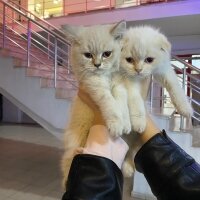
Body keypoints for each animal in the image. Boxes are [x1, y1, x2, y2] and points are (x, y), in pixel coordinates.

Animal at [61, 21, 131, 184]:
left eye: (107, 54)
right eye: (88, 55)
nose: (97, 64)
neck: (106, 76)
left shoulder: (119, 86)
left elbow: (121, 103)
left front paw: (125, 123)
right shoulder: (95, 86)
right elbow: (110, 103)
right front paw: (116, 124)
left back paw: (127, 168)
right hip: (76, 140)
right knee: (68, 165)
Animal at [119, 25, 193, 177]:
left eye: (149, 60)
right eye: (129, 60)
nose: (138, 70)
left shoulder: (164, 71)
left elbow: (175, 88)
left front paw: (185, 108)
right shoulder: (129, 82)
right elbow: (136, 101)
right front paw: (139, 121)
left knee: (134, 148)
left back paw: (128, 167)